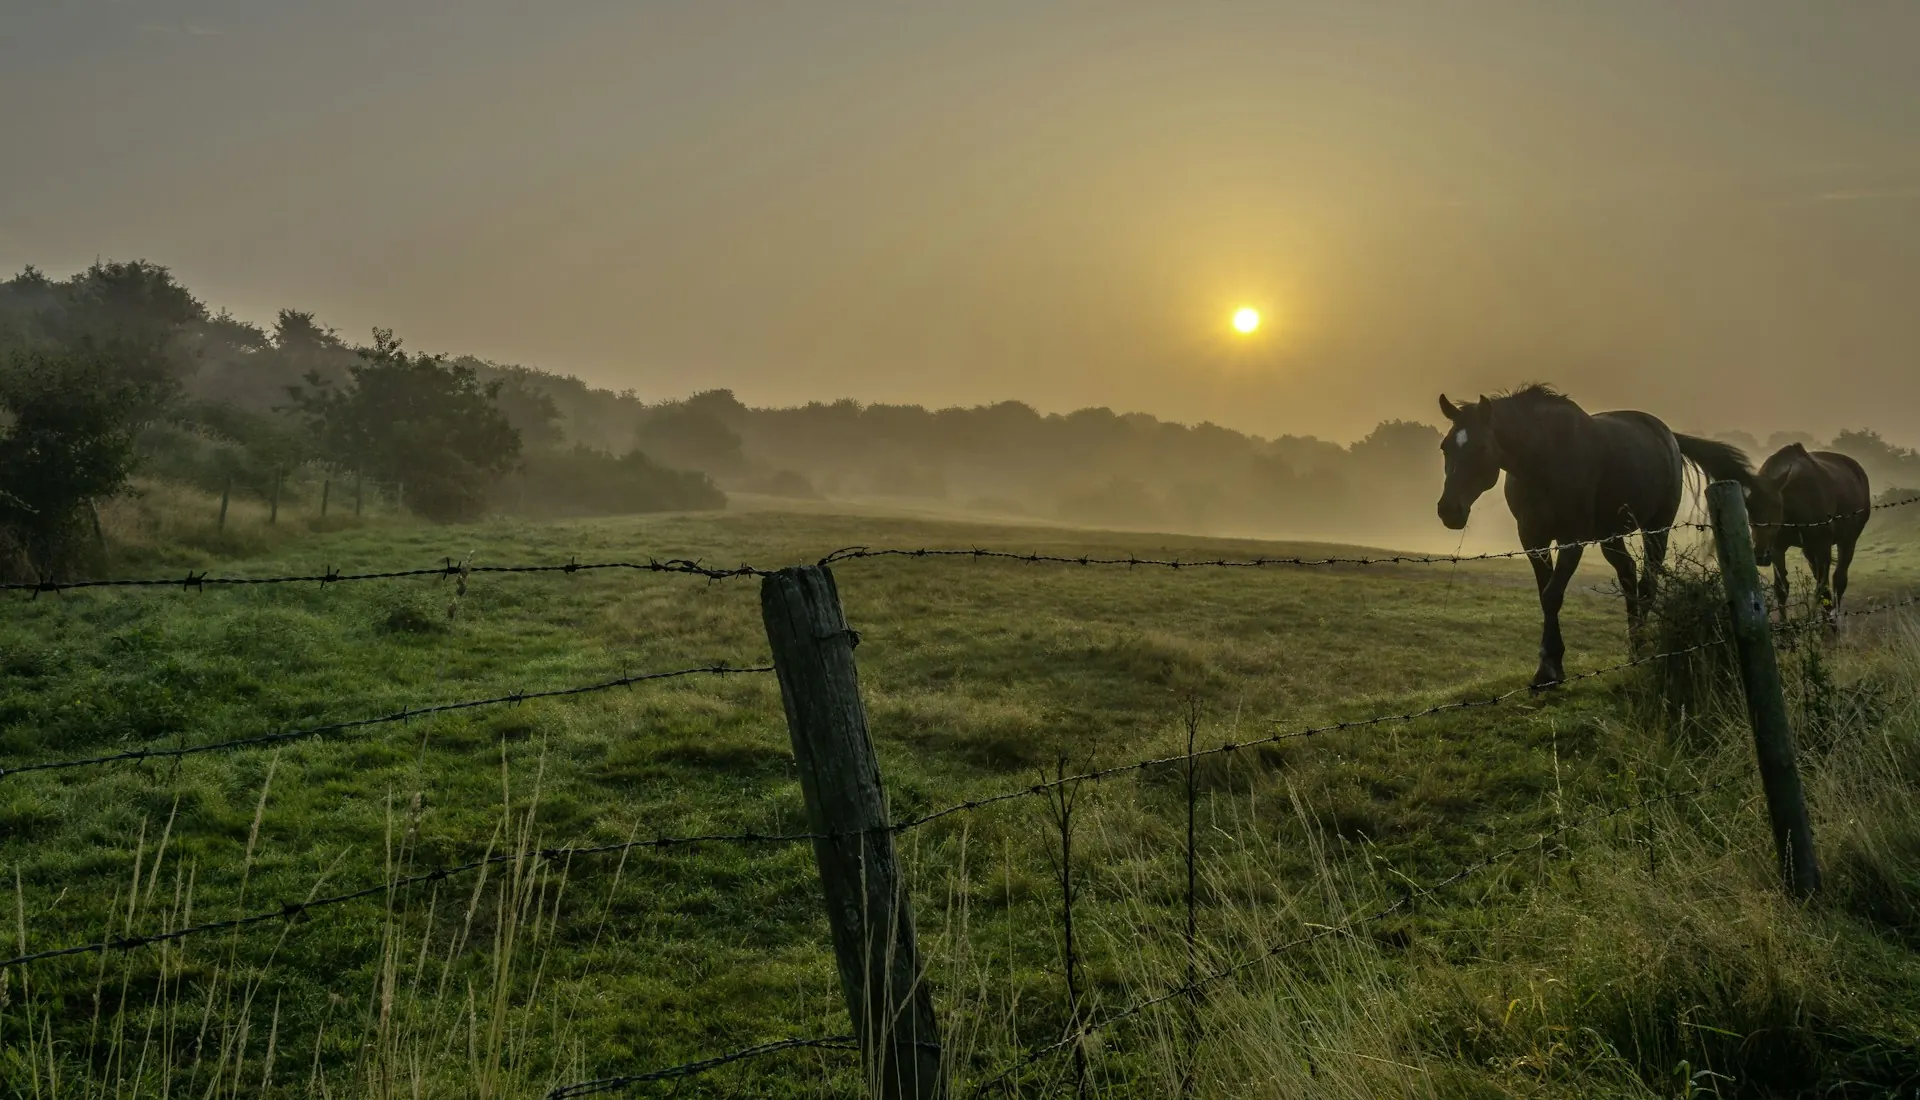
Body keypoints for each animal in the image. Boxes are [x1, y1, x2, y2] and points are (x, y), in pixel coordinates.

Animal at [1435, 385, 1753, 689]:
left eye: (1481, 447)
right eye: (1445, 447)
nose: (1449, 510)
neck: (1544, 459)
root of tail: (1668, 436)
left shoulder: (1571, 539)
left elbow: (1552, 595)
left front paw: (1548, 669)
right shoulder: (1533, 539)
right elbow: (1545, 593)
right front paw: (1549, 665)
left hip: (1656, 529)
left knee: (1647, 584)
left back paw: (1641, 648)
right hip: (1610, 536)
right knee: (1628, 575)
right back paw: (1634, 646)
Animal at [1745, 443, 1871, 626]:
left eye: (1776, 505)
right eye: (1747, 506)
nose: (1760, 555)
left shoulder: (1823, 546)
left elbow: (1823, 588)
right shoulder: (1777, 548)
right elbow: (1782, 588)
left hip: (1847, 541)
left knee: (1838, 580)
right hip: (1809, 550)